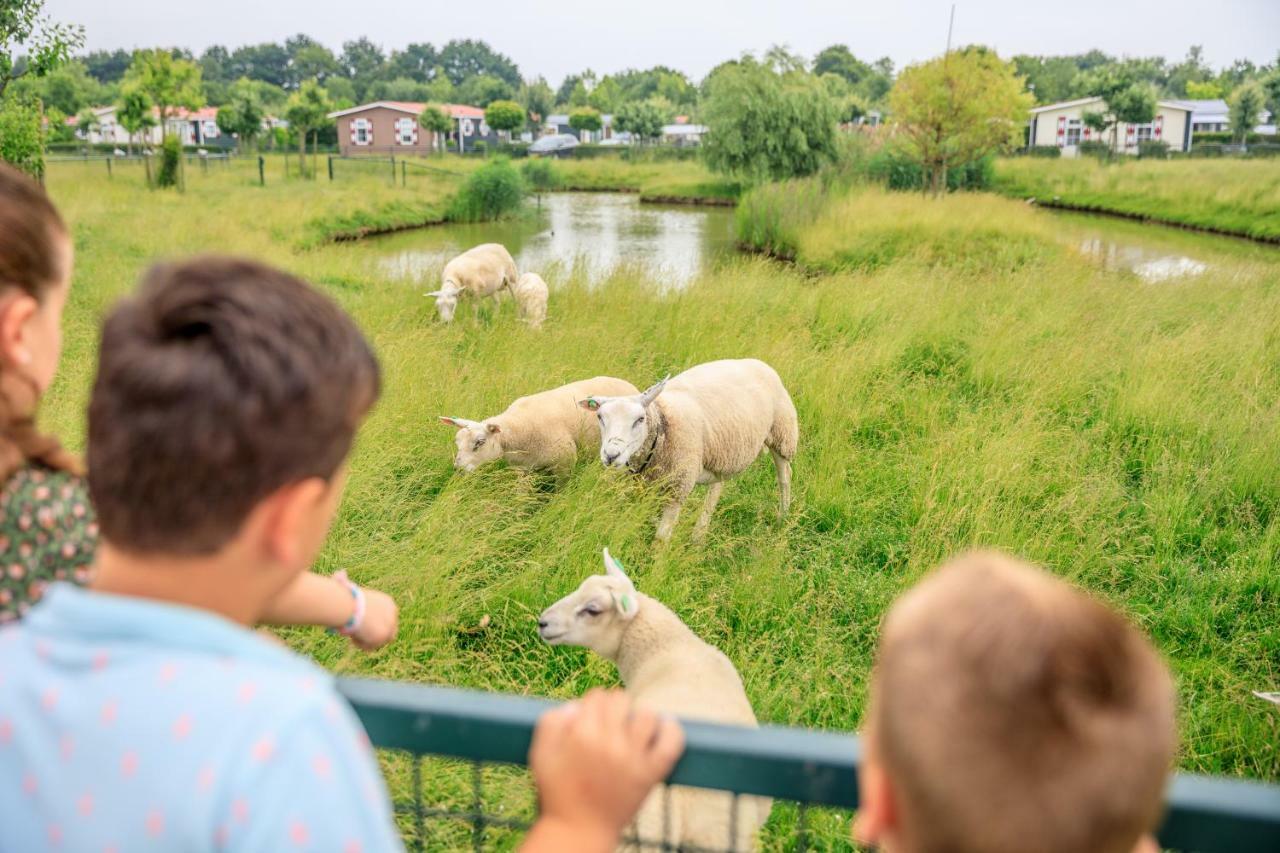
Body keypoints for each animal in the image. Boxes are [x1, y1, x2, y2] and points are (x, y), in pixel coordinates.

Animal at [583, 356, 798, 540]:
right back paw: (699, 534)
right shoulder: (646, 486)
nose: (611, 455)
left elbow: (661, 537)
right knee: (717, 487)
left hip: (783, 434)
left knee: (784, 476)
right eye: (599, 417)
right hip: (723, 450)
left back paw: (783, 516)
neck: (663, 423)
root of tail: (757, 362)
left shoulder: (678, 487)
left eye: (640, 419)